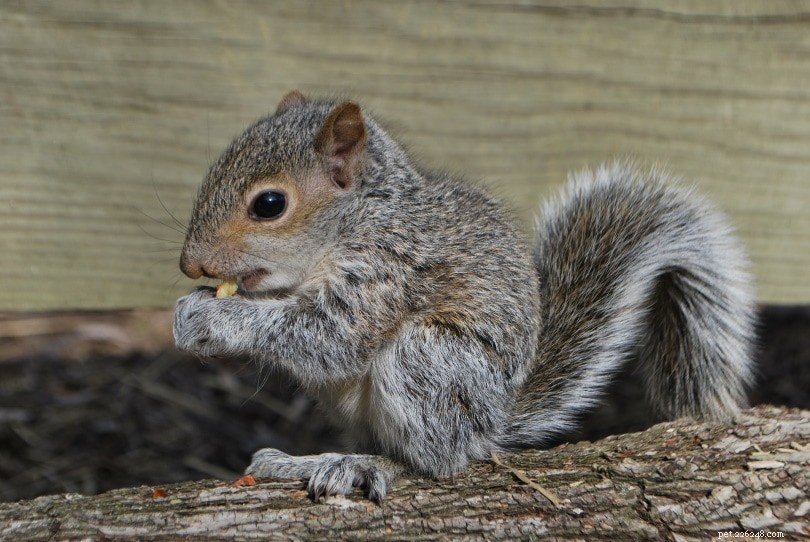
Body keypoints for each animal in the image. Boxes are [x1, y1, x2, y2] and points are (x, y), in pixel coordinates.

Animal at [173, 90, 755, 502]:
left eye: (269, 204)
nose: (190, 265)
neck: (355, 223)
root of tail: (490, 423)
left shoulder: (389, 273)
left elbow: (331, 338)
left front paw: (213, 319)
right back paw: (302, 461)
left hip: (429, 362)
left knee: (435, 460)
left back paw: (363, 466)